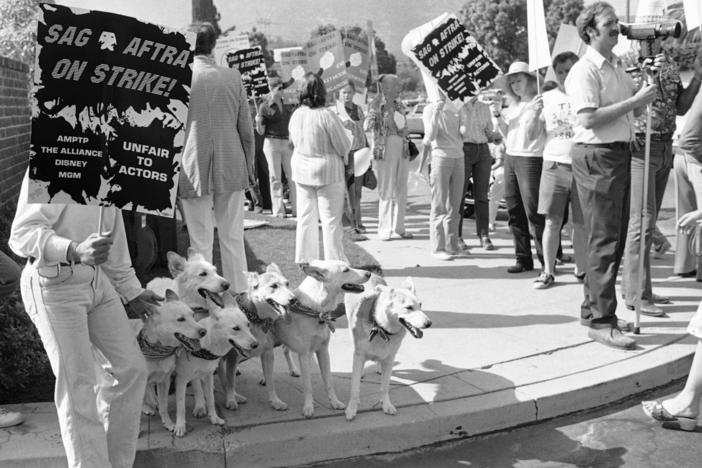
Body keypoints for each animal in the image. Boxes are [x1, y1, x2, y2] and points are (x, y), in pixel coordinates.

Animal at [136, 288, 205, 432]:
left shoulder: (164, 380)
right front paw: (137, 430)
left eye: (193, 315)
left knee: (149, 389)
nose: (204, 331)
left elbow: (164, 406)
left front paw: (168, 423)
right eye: (181, 319)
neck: (159, 350)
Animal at [173, 290, 258, 436]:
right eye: (236, 328)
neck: (204, 347)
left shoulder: (207, 375)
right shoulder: (182, 379)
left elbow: (211, 399)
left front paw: (214, 418)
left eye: (248, 325)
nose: (256, 345)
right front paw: (181, 426)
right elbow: (182, 405)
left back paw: (234, 397)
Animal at [276, 260, 374, 416]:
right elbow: (308, 385)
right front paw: (308, 407)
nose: (369, 273)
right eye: (346, 270)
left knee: (285, 349)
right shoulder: (304, 355)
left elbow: (329, 381)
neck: (315, 310)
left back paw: (293, 370)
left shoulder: (323, 351)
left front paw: (335, 402)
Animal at [344, 274, 432, 420]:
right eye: (409, 307)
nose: (429, 323)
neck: (381, 328)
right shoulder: (359, 355)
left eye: (420, 305)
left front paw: (386, 405)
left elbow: (385, 387)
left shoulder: (390, 359)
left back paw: (379, 367)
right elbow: (354, 388)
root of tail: (371, 272)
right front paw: (352, 408)